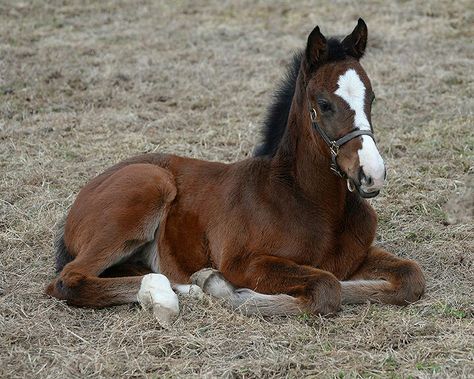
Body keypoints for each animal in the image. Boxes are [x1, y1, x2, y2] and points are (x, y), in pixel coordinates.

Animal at [46, 19, 426, 326]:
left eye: (372, 98)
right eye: (324, 104)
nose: (372, 174)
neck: (307, 201)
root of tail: (86, 192)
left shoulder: (356, 256)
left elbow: (411, 278)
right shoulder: (244, 263)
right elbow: (326, 286)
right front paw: (226, 289)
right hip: (149, 186)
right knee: (68, 280)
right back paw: (184, 292)